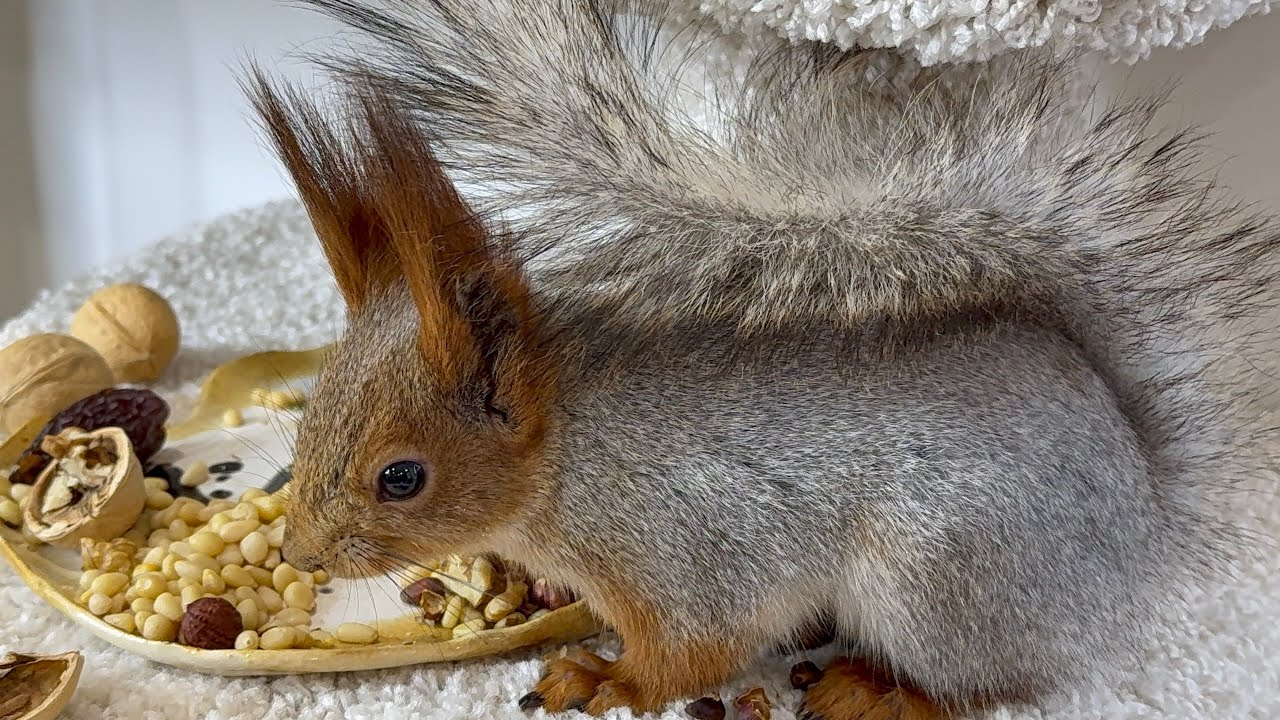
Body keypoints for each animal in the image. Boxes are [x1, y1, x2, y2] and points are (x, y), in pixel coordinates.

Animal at [250, 1, 1280, 718]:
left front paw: (608, 679)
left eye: (402, 477)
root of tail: (1144, 525)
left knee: (1004, 683)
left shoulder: (691, 545)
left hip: (944, 582)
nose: (301, 552)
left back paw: (882, 690)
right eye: (311, 406)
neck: (570, 457)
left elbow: (696, 648)